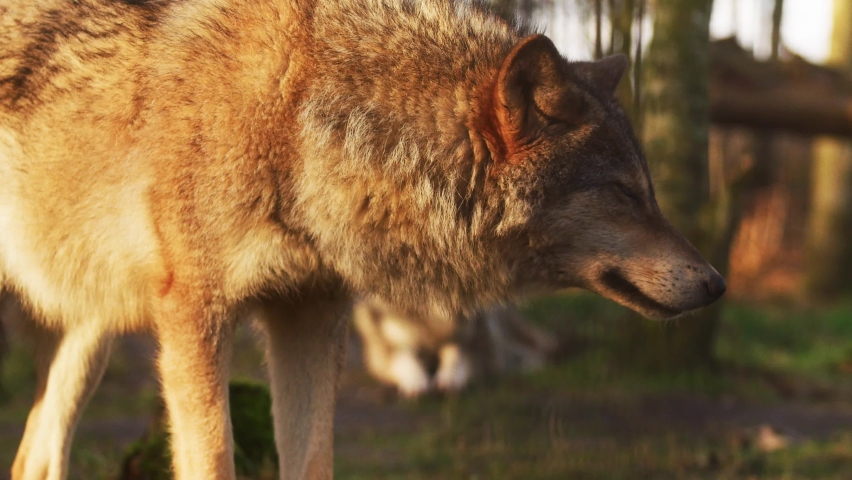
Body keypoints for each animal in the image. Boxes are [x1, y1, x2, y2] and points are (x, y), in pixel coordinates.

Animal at [352, 300, 560, 398]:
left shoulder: (471, 333)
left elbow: (456, 356)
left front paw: (449, 380)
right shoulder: (390, 338)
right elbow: (406, 359)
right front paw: (416, 383)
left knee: (530, 349)